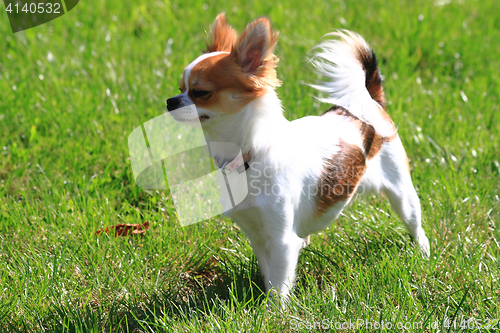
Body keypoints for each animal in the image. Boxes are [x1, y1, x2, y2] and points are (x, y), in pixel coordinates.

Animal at [165, 13, 430, 298]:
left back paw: (423, 254)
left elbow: (279, 284)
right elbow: (269, 275)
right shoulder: (258, 235)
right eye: (180, 87)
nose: (170, 101)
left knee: (415, 225)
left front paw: (275, 308)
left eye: (200, 92)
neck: (249, 154)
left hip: (401, 193)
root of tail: (370, 101)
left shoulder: (282, 240)